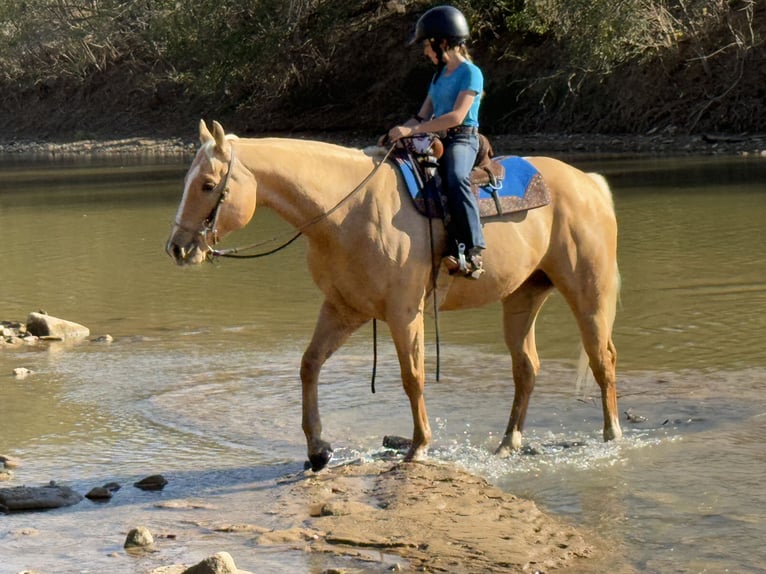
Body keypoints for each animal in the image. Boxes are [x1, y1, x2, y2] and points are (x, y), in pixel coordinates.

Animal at [166, 120, 622, 472]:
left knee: (602, 359)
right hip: (523, 296)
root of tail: (589, 184)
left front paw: (418, 447)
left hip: (588, 293)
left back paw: (612, 434)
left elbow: (412, 376)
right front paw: (318, 450)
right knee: (526, 367)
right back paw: (509, 443)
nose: (177, 248)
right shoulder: (343, 309)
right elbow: (309, 365)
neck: (347, 211)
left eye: (208, 185)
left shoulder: (405, 313)